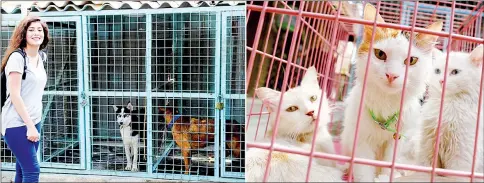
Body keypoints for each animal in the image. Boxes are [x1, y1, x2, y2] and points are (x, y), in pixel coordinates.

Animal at [338, 2, 444, 182]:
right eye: (380, 54)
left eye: (411, 60)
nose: (392, 75)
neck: (385, 102)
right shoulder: (360, 140)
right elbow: (364, 169)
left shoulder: (397, 142)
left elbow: (388, 165)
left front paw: (387, 176)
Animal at [418, 44, 482, 180]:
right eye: (437, 71)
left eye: (455, 72)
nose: (441, 81)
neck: (448, 104)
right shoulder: (428, 145)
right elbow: (425, 168)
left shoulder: (462, 153)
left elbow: (456, 175)